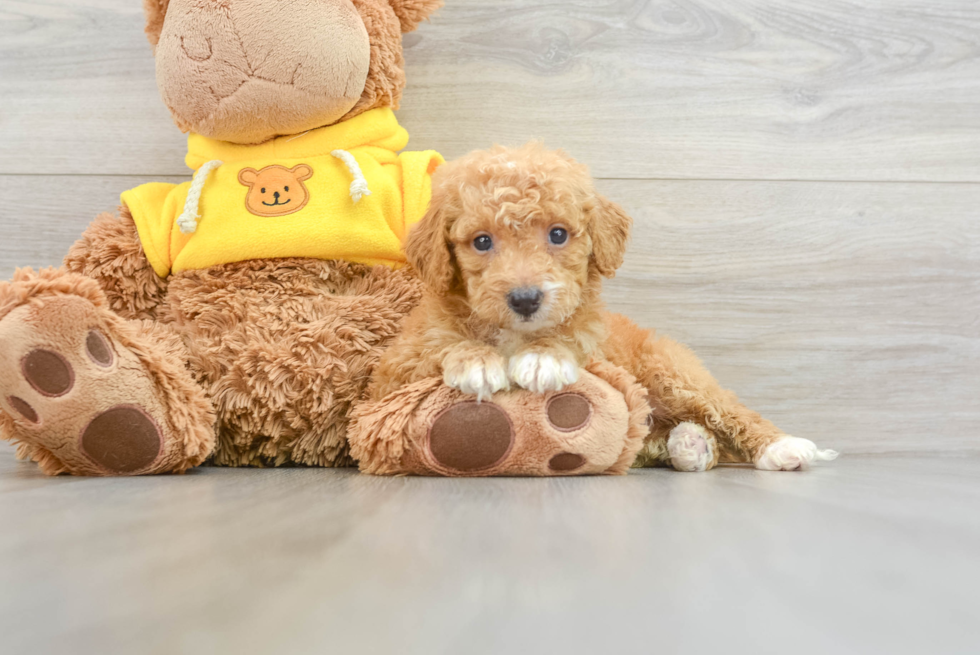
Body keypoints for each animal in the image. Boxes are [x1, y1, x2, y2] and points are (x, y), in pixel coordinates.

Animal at [372, 142, 840, 472]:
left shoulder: (595, 340)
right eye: (482, 242)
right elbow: (440, 345)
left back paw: (779, 446)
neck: (514, 334)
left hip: (672, 371)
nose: (525, 299)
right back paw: (690, 445)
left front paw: (544, 358)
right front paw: (476, 361)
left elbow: (571, 337)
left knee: (727, 410)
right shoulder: (393, 370)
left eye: (558, 234)